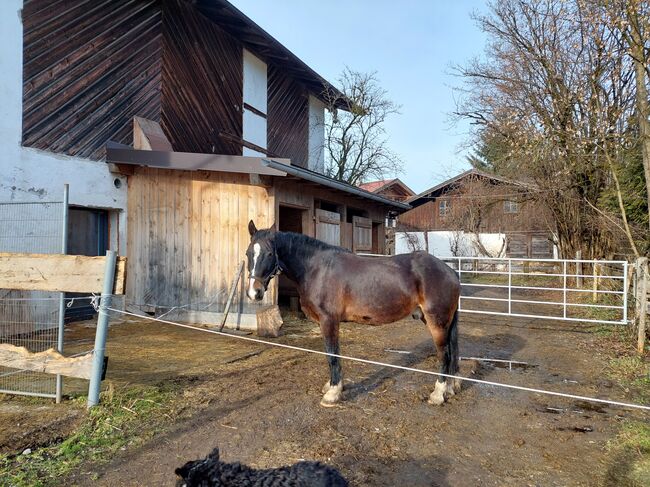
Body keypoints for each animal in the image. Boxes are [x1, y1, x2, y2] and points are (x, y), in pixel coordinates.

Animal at [243, 221, 460, 408]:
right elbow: (333, 353)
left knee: (444, 353)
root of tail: (450, 271)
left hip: (436, 321)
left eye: (269, 253)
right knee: (452, 350)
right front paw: (334, 386)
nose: (254, 292)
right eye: (248, 253)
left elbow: (332, 354)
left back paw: (438, 394)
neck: (316, 268)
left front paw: (332, 394)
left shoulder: (328, 321)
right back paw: (450, 388)